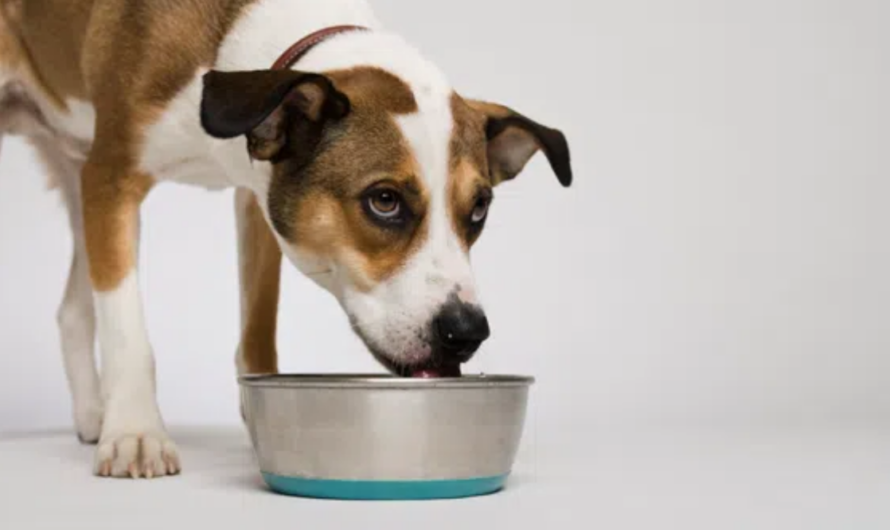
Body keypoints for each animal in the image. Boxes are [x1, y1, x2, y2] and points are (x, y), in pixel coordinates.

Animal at [0, 0, 568, 478]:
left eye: (479, 208)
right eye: (384, 200)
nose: (466, 332)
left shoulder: (255, 199)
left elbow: (257, 326)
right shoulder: (111, 178)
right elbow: (125, 325)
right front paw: (136, 432)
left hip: (73, 168)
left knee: (73, 308)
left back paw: (93, 413)